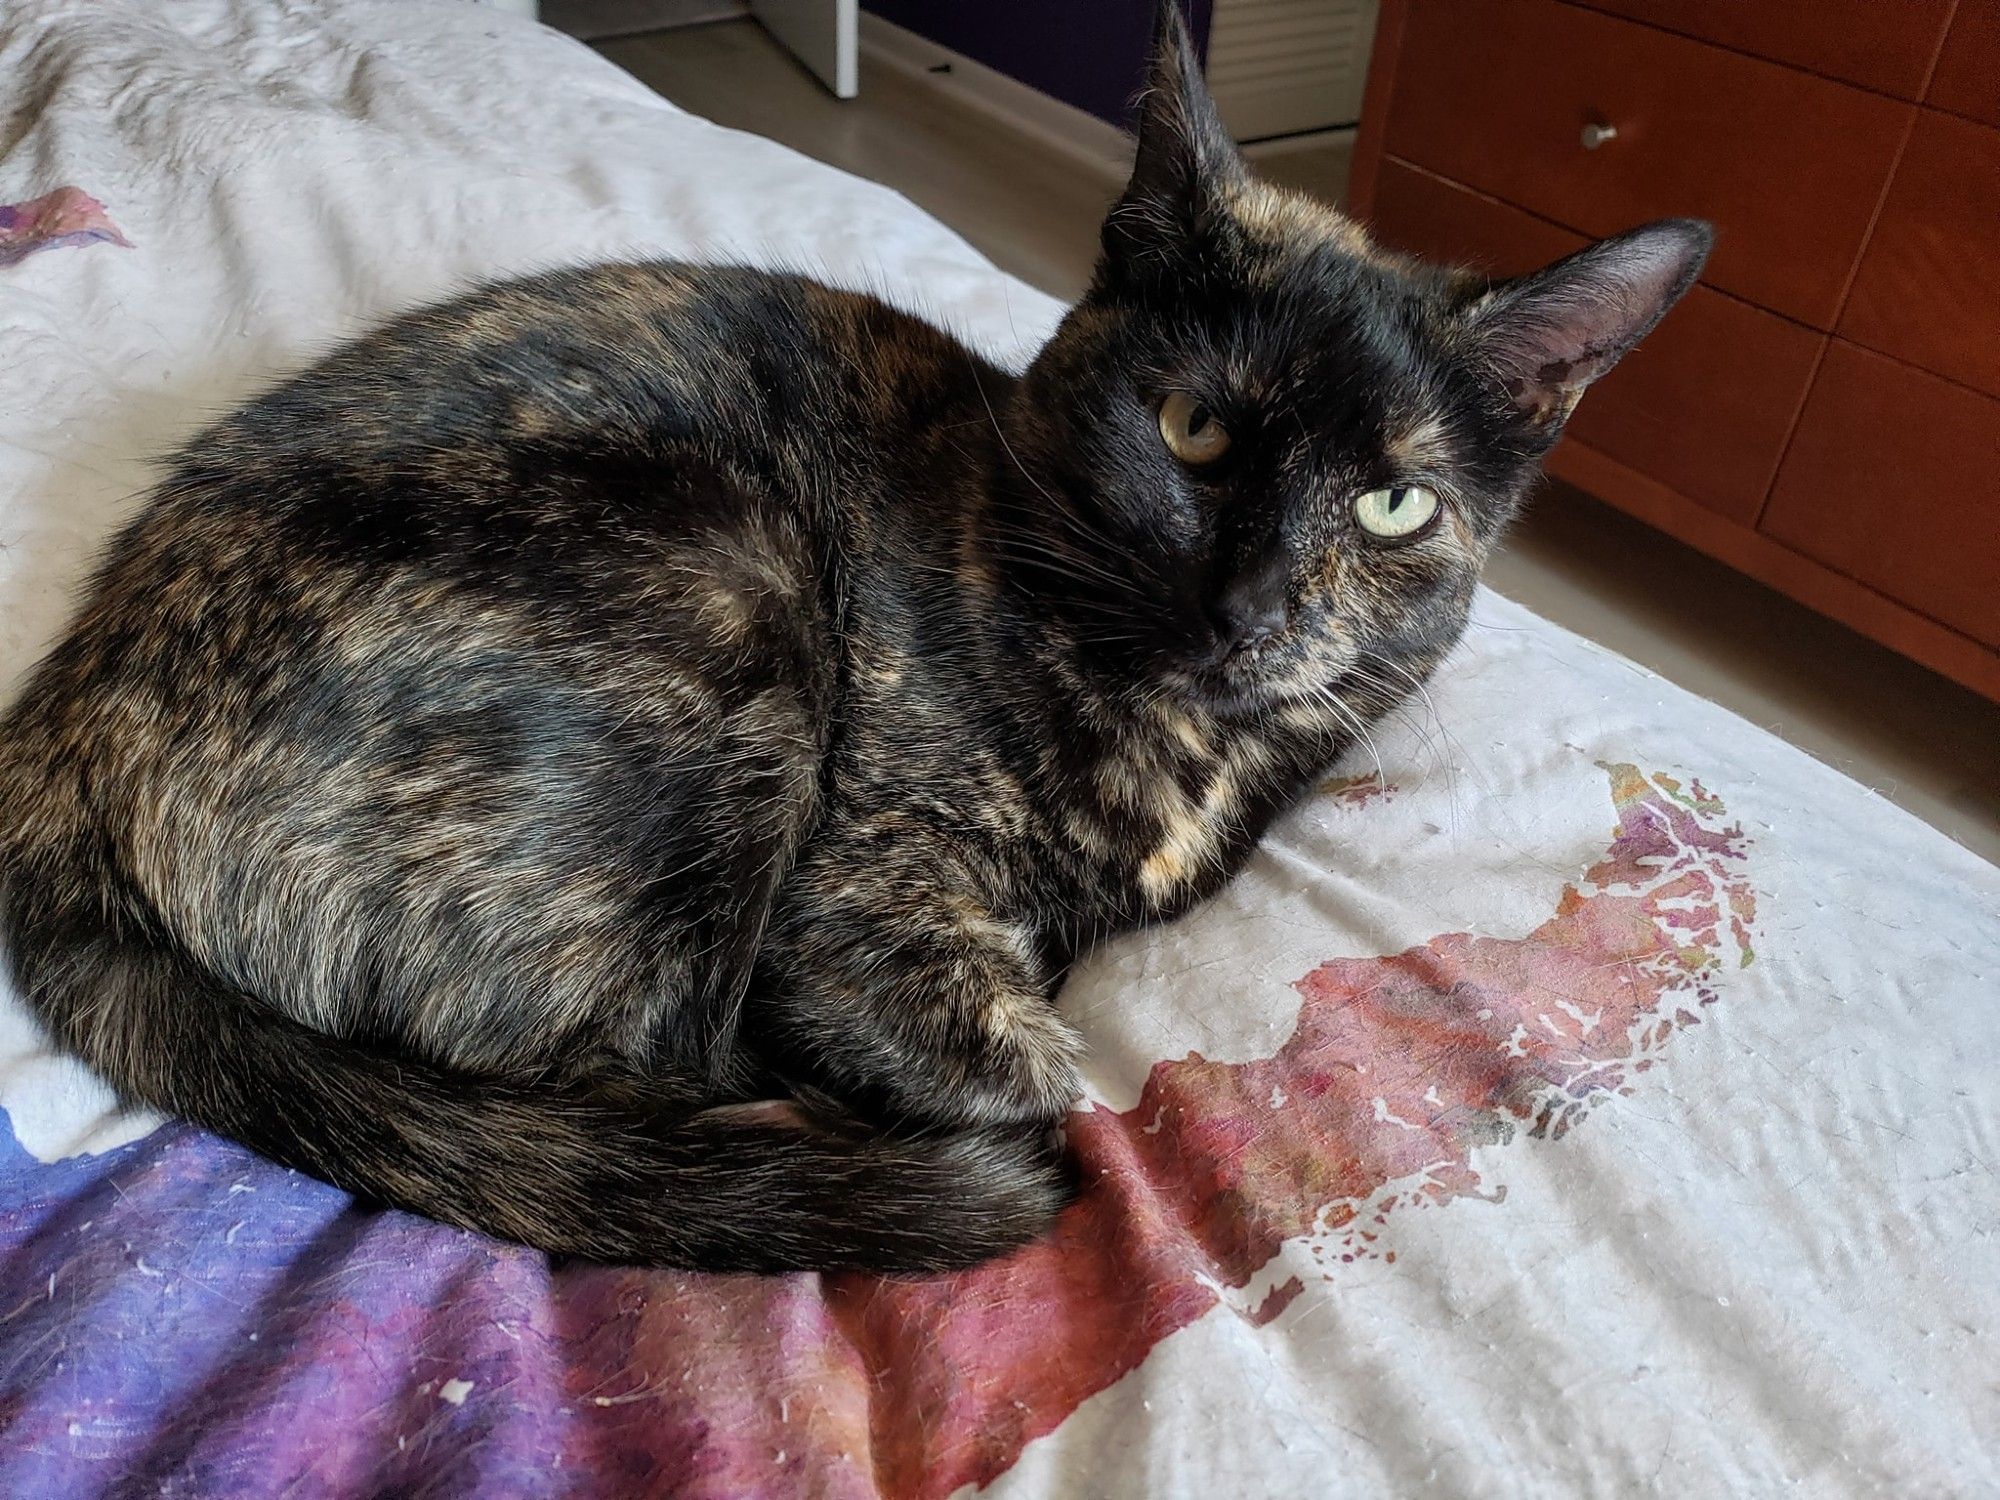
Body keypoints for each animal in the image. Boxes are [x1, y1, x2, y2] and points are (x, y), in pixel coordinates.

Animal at [0, 17, 1712, 1272]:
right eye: (1195, 429)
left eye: (1393, 503)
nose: (1256, 608)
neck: (1172, 754)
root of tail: (59, 735)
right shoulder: (856, 923)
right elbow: (1052, 1076)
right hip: (726, 588)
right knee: (625, 1085)